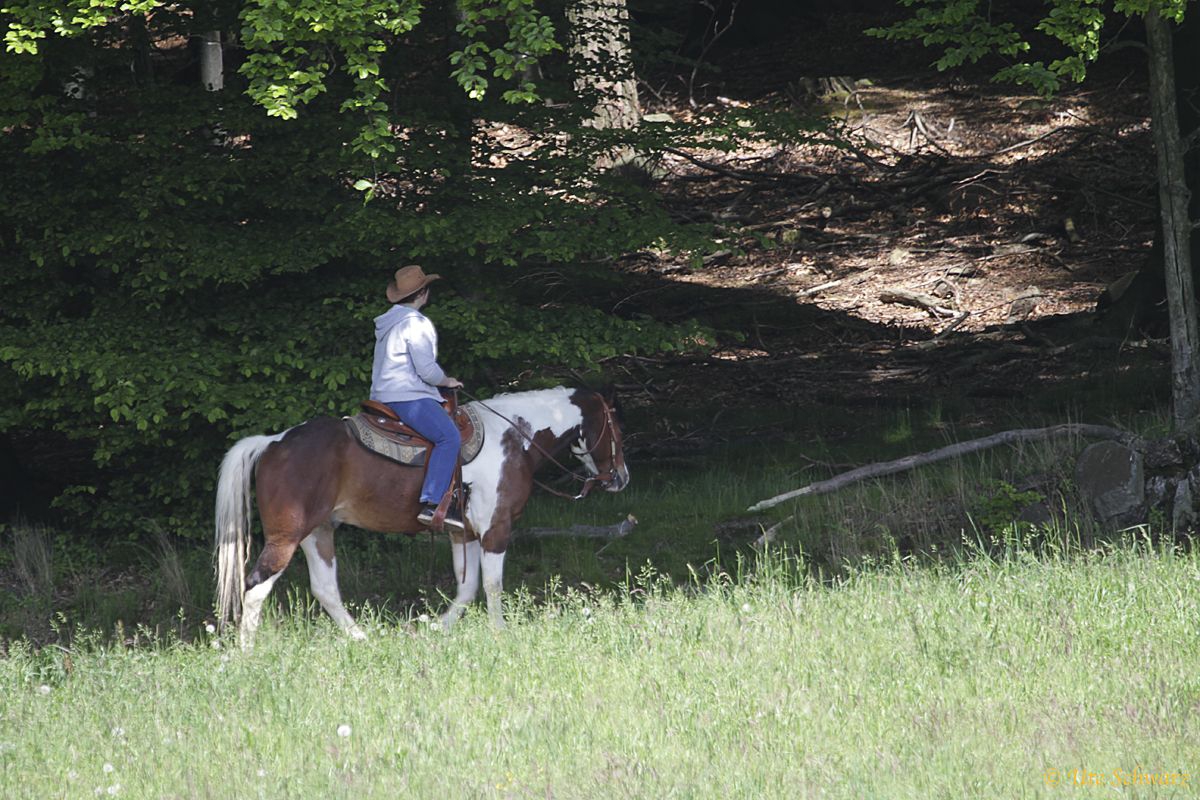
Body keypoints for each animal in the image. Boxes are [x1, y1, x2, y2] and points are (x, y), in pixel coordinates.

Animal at [214, 383, 628, 647]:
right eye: (615, 427)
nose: (620, 478)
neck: (514, 438)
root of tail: (272, 442)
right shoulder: (496, 529)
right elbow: (493, 585)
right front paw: (500, 633)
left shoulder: (464, 533)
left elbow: (467, 588)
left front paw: (436, 629)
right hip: (287, 535)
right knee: (255, 586)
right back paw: (246, 655)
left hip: (318, 533)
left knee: (326, 589)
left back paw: (363, 639)